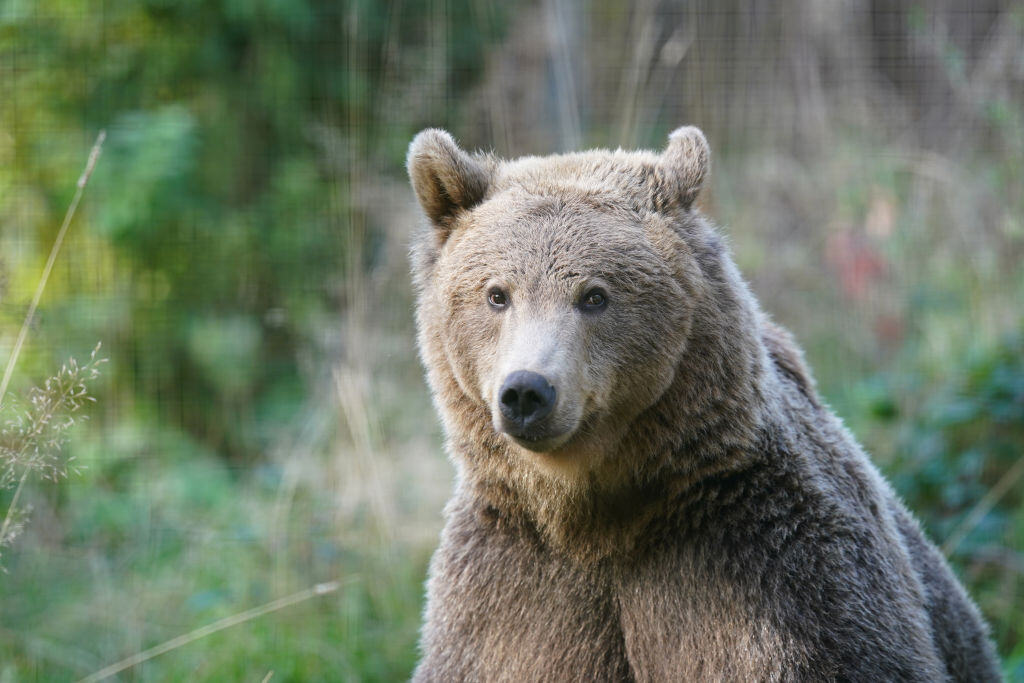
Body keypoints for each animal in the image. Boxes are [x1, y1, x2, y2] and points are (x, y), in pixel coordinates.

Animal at [405, 127, 999, 683]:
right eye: (496, 294)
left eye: (594, 295)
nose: (527, 391)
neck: (593, 518)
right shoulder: (513, 588)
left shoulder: (760, 569)